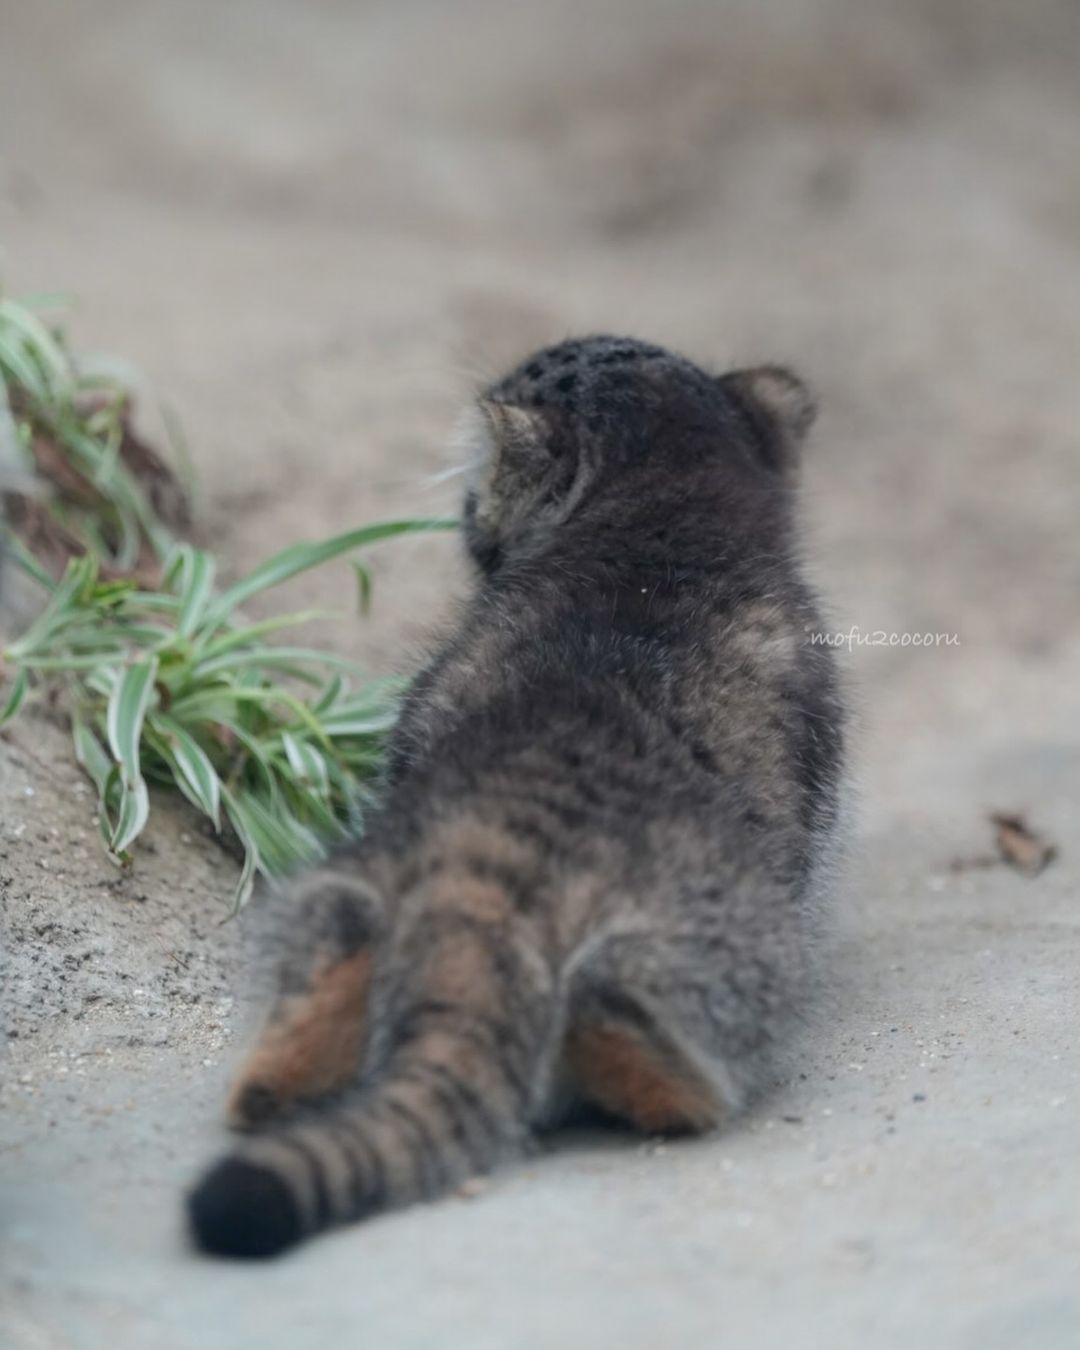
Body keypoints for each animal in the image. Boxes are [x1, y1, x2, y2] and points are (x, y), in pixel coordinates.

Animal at [187, 334, 842, 1252]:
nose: (464, 510)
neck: (664, 517)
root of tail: (490, 870)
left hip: (337, 886)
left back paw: (267, 1090)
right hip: (731, 946)